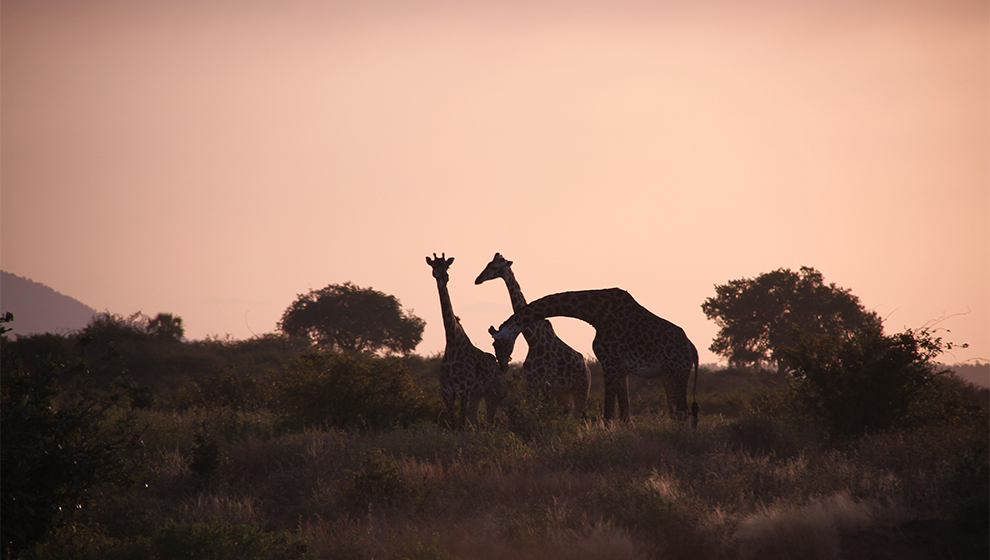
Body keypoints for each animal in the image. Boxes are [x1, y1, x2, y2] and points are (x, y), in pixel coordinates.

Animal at [426, 254, 508, 428]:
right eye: (433, 266)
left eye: (447, 266)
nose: (443, 277)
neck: (452, 342)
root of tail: (499, 370)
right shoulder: (447, 393)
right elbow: (455, 426)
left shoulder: (463, 390)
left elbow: (461, 426)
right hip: (478, 395)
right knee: (475, 421)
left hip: (493, 394)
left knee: (490, 422)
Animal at [476, 252, 592, 418]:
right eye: (487, 264)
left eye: (494, 267)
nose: (477, 279)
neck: (533, 340)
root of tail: (587, 368)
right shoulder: (531, 383)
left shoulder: (547, 386)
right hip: (564, 394)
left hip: (581, 388)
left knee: (576, 417)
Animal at [492, 288, 700, 424]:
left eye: (497, 344)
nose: (502, 365)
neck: (595, 314)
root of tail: (692, 349)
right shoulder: (619, 368)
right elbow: (624, 413)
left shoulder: (608, 362)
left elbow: (608, 413)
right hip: (669, 375)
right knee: (679, 412)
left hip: (676, 372)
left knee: (683, 412)